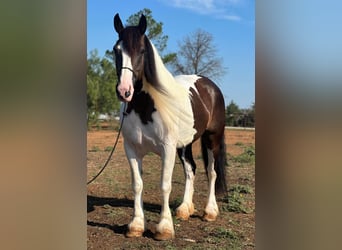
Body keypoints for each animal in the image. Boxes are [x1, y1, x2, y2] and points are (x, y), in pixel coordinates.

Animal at [113, 13, 228, 240]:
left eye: (142, 51)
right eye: (116, 50)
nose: (124, 91)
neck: (145, 106)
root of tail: (210, 86)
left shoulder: (167, 149)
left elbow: (165, 185)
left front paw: (164, 228)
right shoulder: (131, 149)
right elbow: (137, 185)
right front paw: (136, 225)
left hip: (212, 139)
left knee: (211, 173)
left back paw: (210, 211)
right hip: (184, 144)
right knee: (191, 170)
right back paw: (185, 209)